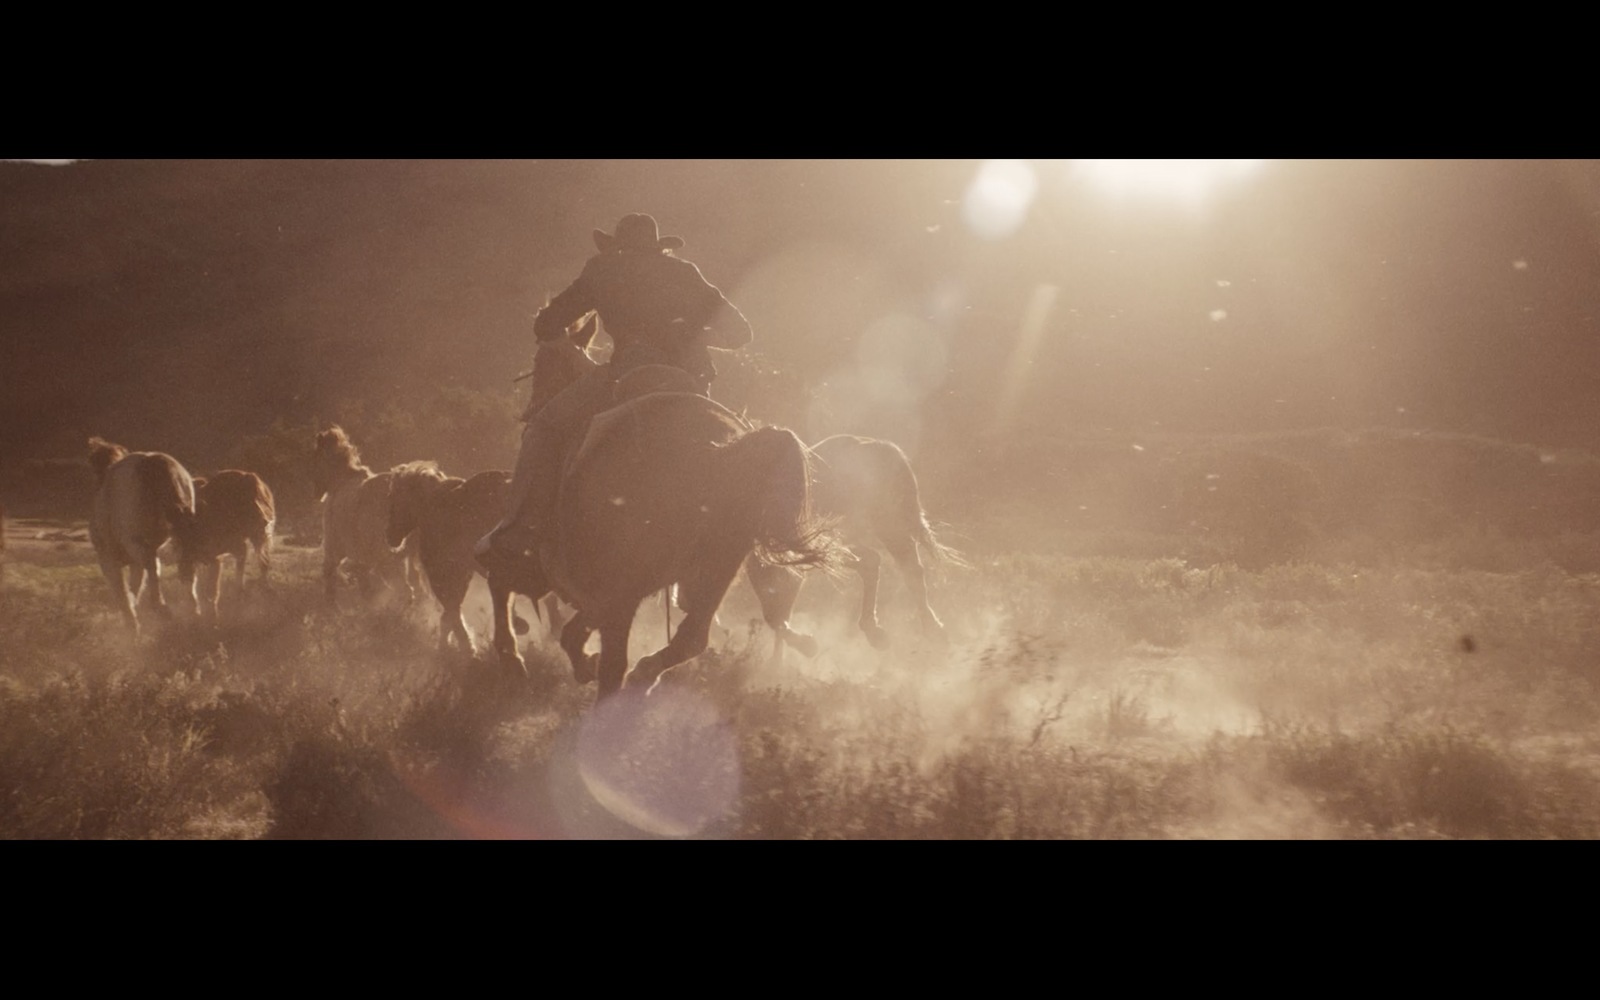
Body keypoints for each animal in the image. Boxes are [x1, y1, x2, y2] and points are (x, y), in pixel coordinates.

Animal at [87, 435, 201, 630]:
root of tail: (152, 461)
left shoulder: (109, 560)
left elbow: (124, 593)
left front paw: (132, 625)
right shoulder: (133, 562)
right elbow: (135, 586)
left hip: (135, 542)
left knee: (152, 564)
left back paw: (161, 608)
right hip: (178, 538)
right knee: (185, 568)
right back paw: (192, 611)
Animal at [178, 467, 275, 617]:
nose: (265, 520)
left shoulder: (217, 556)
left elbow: (211, 590)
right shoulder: (190, 558)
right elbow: (193, 587)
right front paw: (197, 612)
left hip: (254, 539)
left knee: (261, 563)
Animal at [310, 422, 425, 604]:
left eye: (315, 458)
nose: (316, 492)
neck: (340, 482)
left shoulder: (334, 546)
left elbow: (329, 572)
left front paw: (330, 603)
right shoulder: (363, 557)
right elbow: (364, 584)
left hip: (390, 558)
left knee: (405, 591)